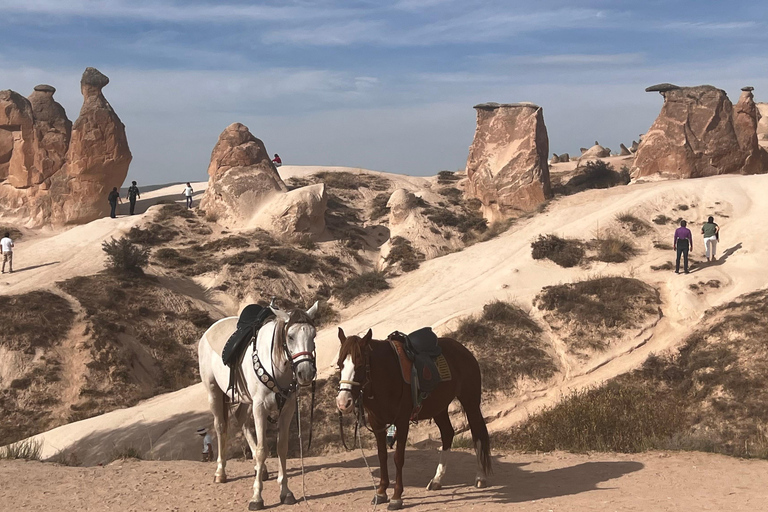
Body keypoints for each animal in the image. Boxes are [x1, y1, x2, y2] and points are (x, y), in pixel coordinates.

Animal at [200, 302, 320, 510]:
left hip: (246, 399)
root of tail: (209, 330)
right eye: (290, 336)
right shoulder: (260, 407)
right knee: (221, 427)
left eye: (313, 335)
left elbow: (281, 448)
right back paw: (220, 472)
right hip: (214, 392)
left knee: (241, 419)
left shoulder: (287, 408)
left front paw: (285, 492)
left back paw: (260, 469)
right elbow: (263, 449)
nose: (305, 373)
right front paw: (256, 497)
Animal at [336, 328, 492, 508]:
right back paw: (437, 480)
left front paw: (396, 497)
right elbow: (382, 456)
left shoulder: (402, 422)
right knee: (447, 433)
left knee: (477, 433)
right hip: (439, 408)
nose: (343, 402)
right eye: (340, 364)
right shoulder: (377, 424)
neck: (387, 375)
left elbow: (398, 458)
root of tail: (464, 350)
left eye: (360, 365)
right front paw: (381, 493)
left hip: (470, 402)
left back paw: (480, 477)